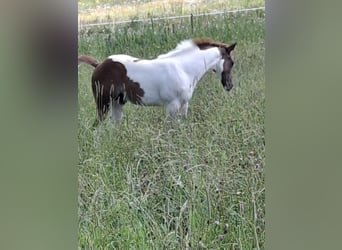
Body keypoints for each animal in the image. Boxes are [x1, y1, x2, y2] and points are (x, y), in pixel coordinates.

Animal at [78, 37, 236, 126]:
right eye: (232, 62)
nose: (229, 86)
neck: (183, 68)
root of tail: (99, 65)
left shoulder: (184, 104)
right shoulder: (172, 105)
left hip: (117, 103)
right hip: (103, 103)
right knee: (96, 127)